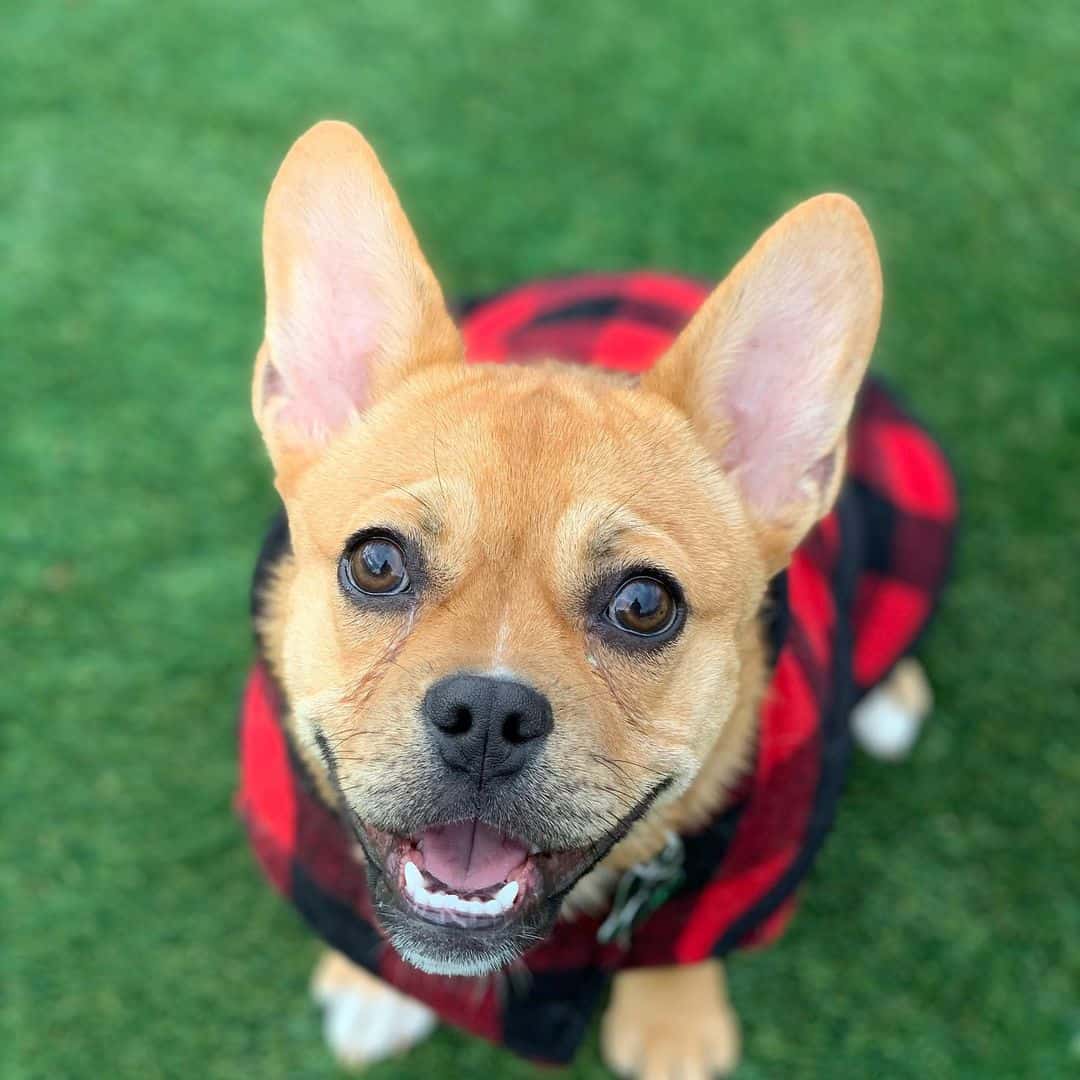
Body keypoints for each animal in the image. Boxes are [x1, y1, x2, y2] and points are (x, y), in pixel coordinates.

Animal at [236, 120, 954, 1071]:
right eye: (377, 563)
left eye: (645, 606)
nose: (487, 715)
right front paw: (372, 984)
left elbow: (680, 940)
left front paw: (673, 1022)